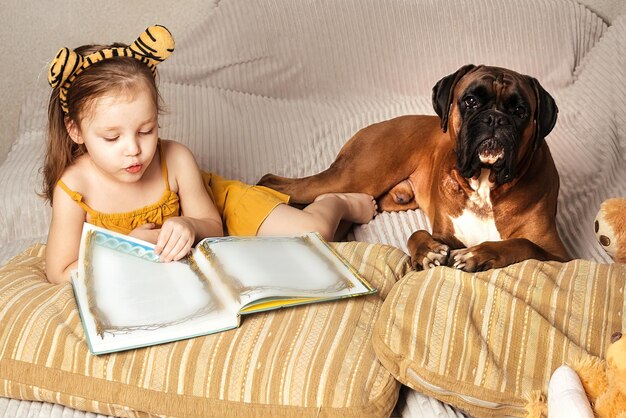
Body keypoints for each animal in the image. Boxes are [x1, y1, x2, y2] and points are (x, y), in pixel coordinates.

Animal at [256, 62, 568, 272]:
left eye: (520, 111)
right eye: (470, 100)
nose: (494, 118)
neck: (485, 184)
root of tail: (377, 125)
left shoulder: (560, 256)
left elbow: (523, 244)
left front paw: (478, 254)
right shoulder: (445, 235)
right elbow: (417, 234)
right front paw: (427, 253)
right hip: (354, 176)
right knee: (272, 181)